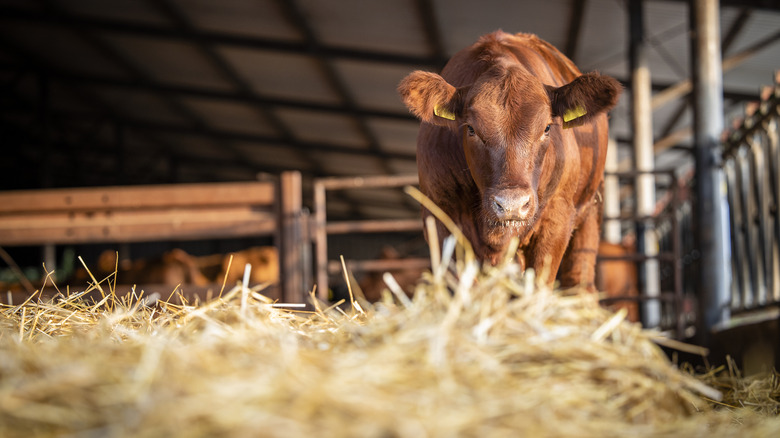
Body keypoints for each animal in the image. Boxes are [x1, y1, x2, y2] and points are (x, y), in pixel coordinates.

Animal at [400, 31, 620, 290]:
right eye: (471, 129)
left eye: (547, 127)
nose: (512, 205)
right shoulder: (440, 217)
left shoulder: (557, 219)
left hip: (590, 212)